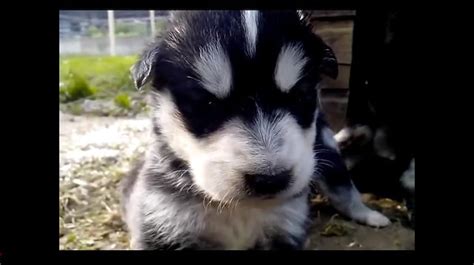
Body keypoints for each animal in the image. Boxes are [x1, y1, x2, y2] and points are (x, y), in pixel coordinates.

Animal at [120, 10, 390, 250]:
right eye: (207, 103)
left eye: (298, 96)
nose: (271, 180)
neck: (239, 209)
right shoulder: (163, 220)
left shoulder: (286, 226)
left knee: (343, 186)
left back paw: (369, 215)